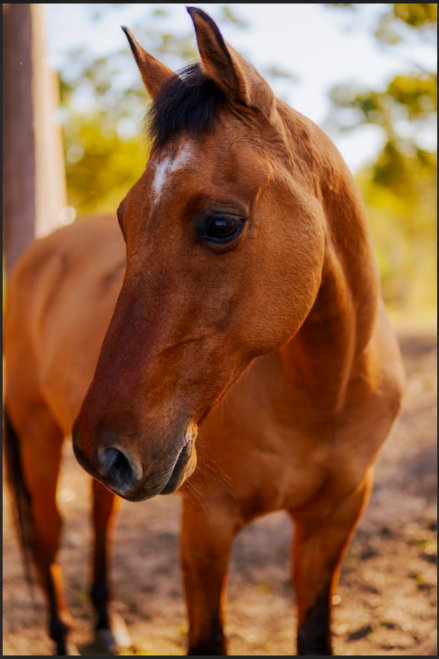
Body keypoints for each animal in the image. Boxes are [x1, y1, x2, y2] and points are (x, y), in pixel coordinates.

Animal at [4, 7, 406, 656]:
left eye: (220, 224)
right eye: (126, 219)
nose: (105, 447)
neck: (324, 391)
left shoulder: (336, 519)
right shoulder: (207, 526)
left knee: (100, 519)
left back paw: (106, 621)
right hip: (38, 433)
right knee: (48, 535)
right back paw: (63, 634)